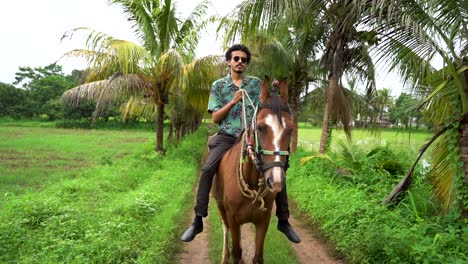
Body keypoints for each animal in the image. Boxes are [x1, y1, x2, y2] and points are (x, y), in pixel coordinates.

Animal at [212, 78, 292, 264]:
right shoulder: (233, 220)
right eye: (261, 128)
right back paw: (224, 256)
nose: (276, 181)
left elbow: (257, 256)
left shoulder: (263, 221)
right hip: (219, 205)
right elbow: (237, 252)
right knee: (225, 228)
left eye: (291, 129)